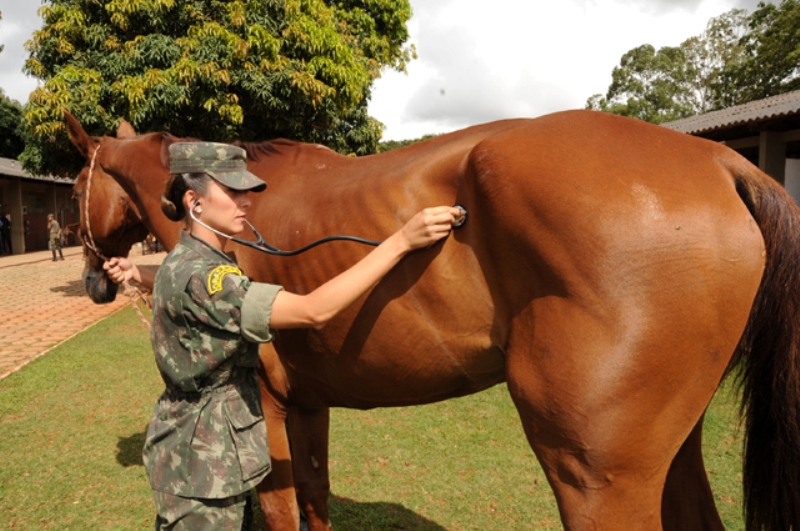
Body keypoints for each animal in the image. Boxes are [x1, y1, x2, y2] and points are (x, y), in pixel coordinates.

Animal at [67, 110, 800, 528]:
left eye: (74, 187)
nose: (98, 281)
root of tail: (719, 160)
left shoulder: (269, 409)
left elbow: (281, 509)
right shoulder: (308, 404)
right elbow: (315, 498)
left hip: (597, 475)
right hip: (672, 450)